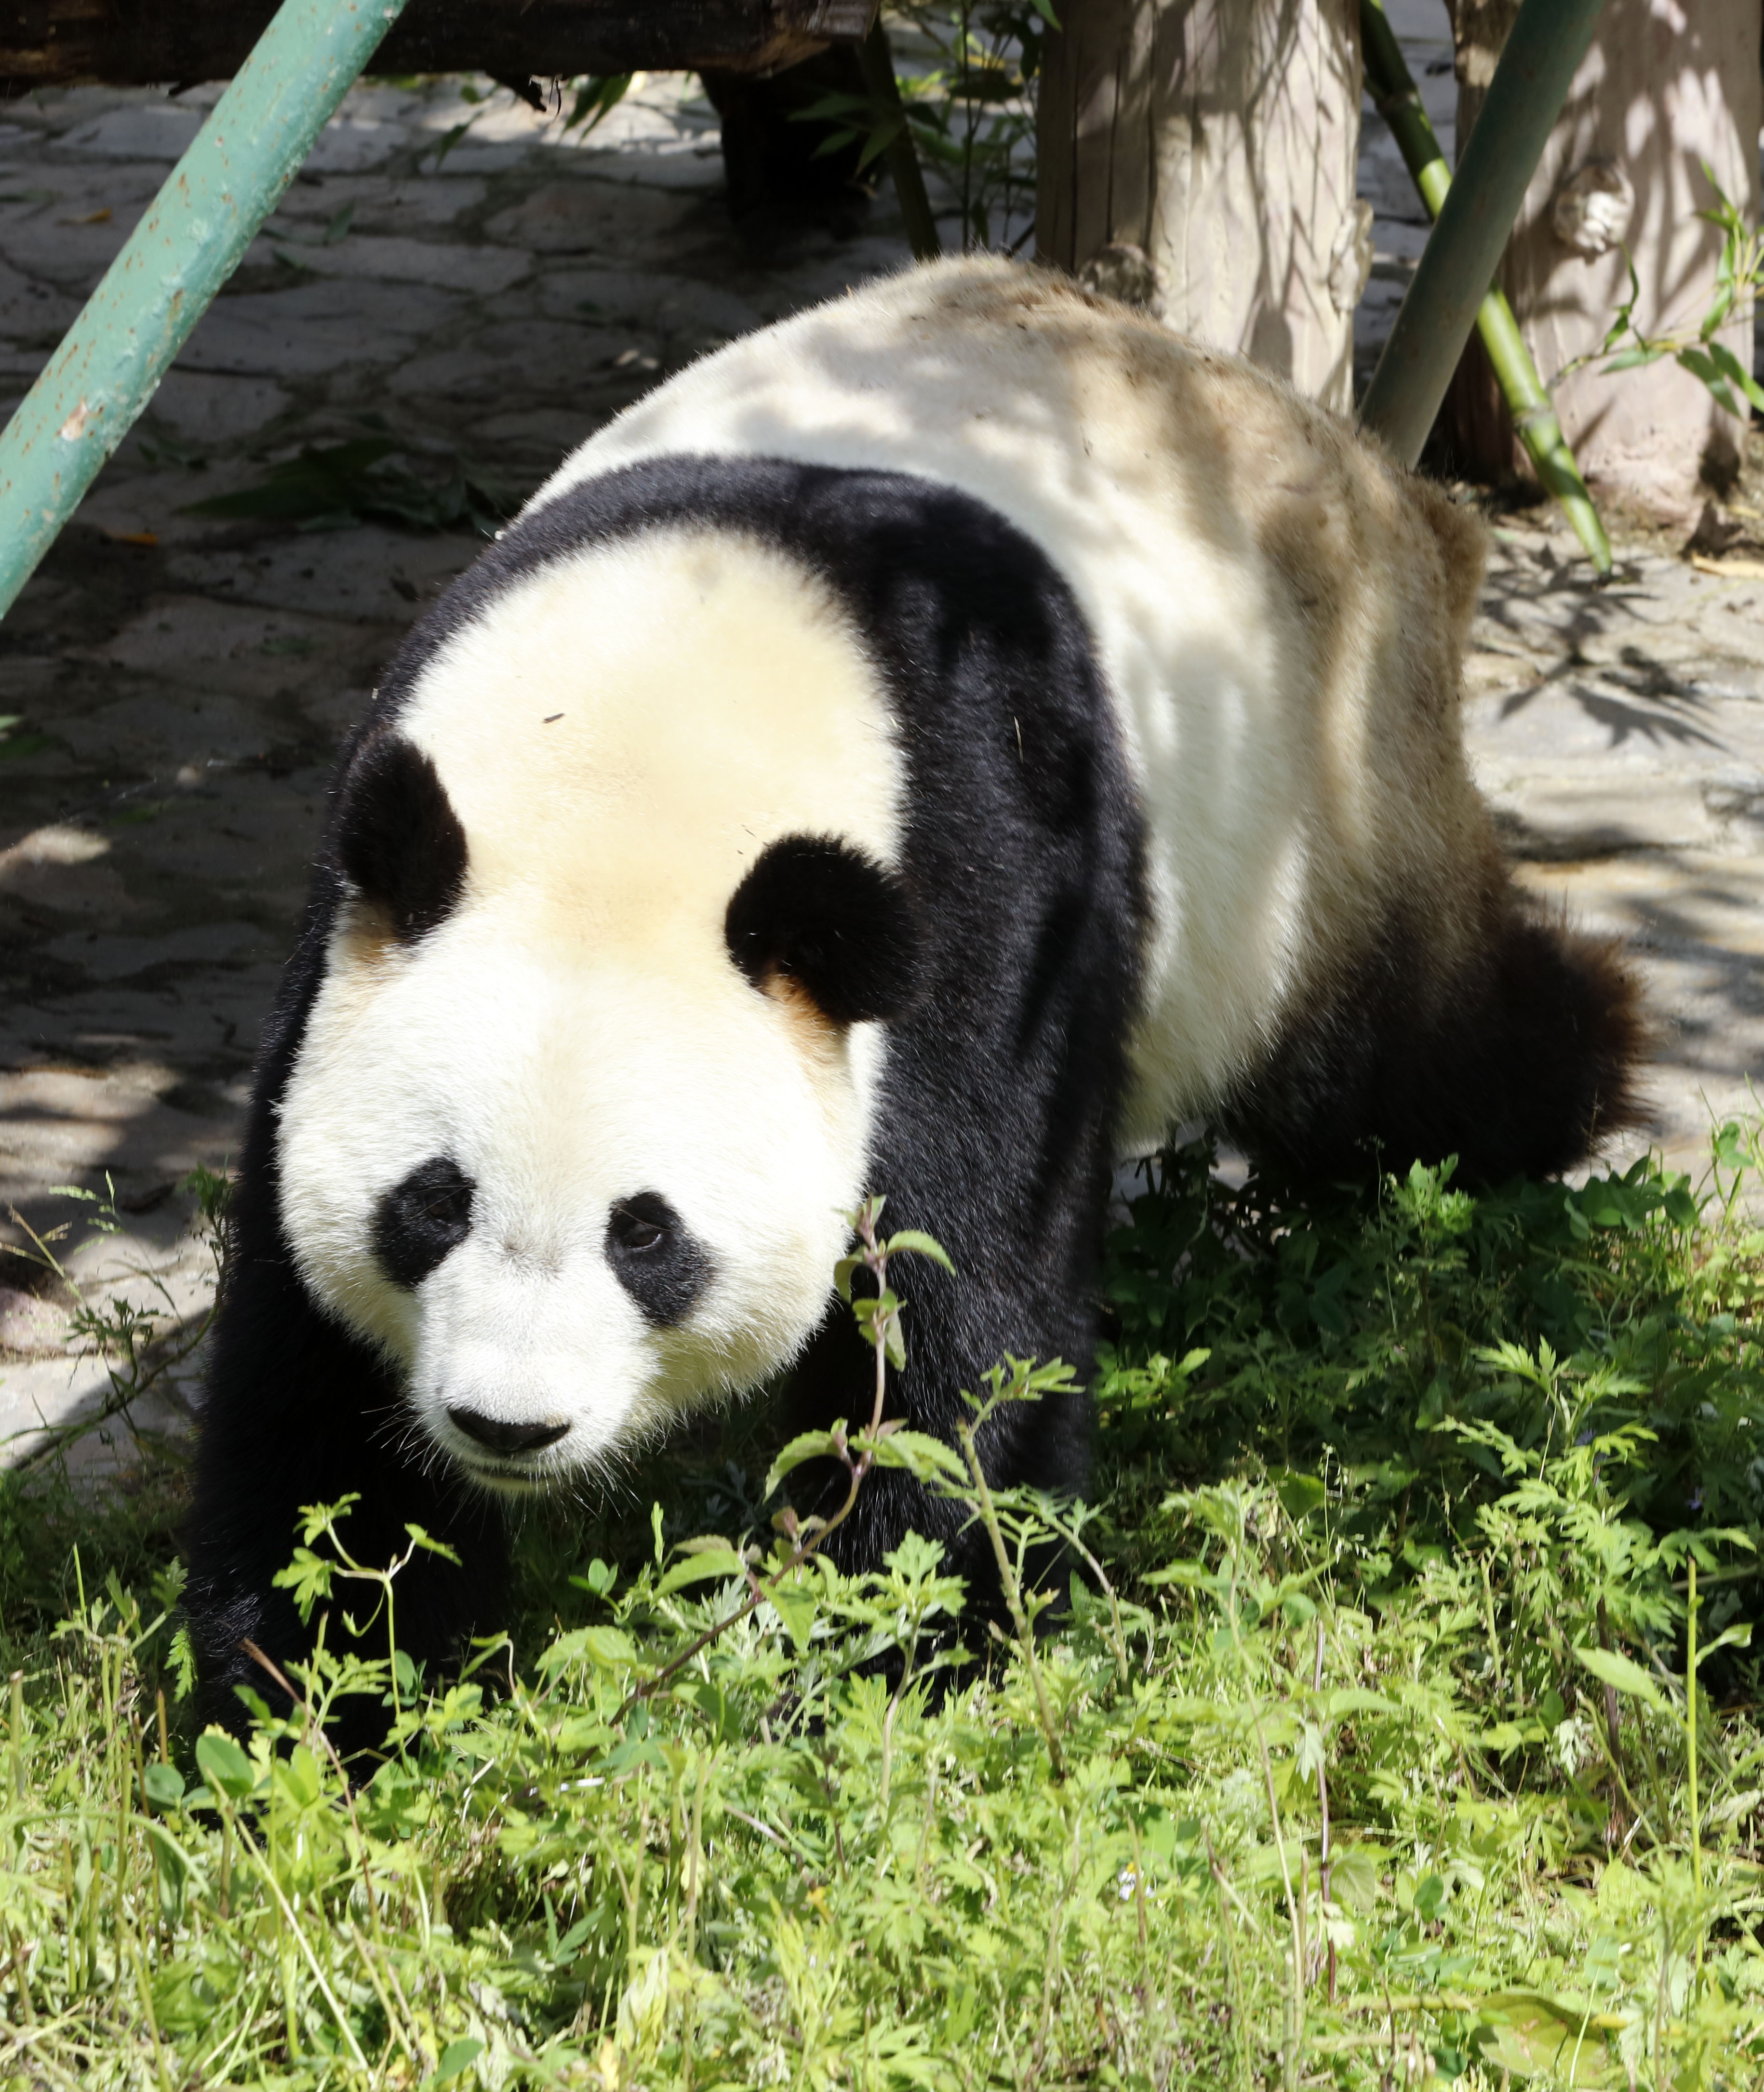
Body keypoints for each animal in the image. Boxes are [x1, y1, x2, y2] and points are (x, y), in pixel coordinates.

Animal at [186, 261, 1649, 1732]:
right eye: (432, 1201)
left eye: (645, 1234)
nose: (509, 1424)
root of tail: (1364, 466)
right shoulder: (359, 911)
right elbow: (317, 1387)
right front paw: (333, 1709)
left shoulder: (986, 883)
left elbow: (964, 1323)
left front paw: (883, 1666)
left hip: (1319, 804)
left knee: (1406, 1055)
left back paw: (1580, 1063)